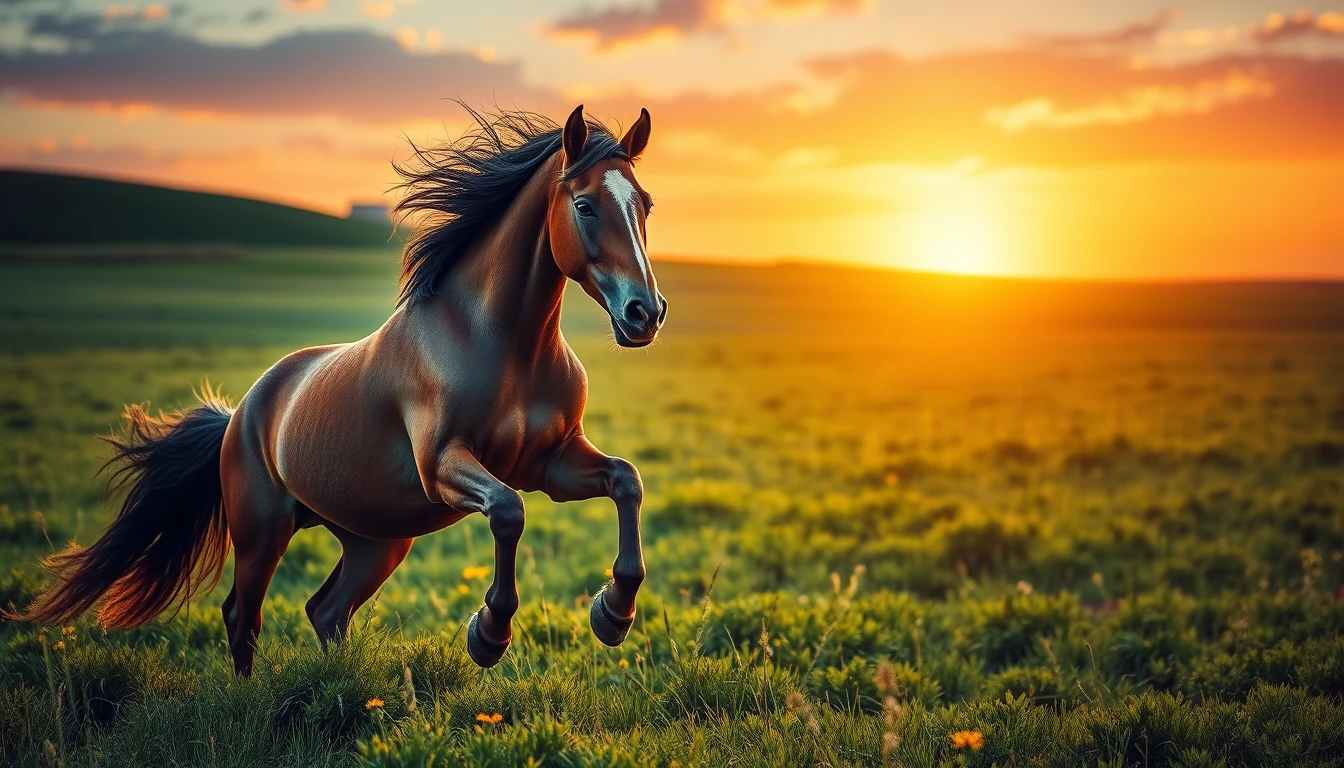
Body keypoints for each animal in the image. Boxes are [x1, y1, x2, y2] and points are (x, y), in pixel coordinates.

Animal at [16, 105, 667, 675]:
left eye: (645, 205)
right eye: (584, 205)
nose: (645, 313)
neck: (502, 344)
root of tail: (240, 412)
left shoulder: (550, 463)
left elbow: (626, 481)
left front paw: (613, 614)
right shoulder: (445, 465)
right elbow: (508, 512)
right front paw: (488, 634)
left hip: (376, 542)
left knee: (324, 611)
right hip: (262, 531)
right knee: (242, 616)